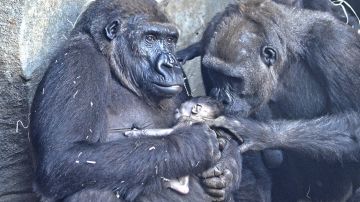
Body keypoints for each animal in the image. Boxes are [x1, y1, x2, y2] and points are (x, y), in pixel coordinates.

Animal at [28, 0, 242, 201]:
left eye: (170, 40)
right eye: (150, 38)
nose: (170, 64)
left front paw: (228, 171)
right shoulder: (77, 61)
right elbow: (65, 157)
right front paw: (193, 145)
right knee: (91, 190)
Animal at [179, 0, 360, 202]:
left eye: (233, 79)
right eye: (216, 74)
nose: (221, 98)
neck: (286, 56)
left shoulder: (337, 45)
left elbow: (355, 124)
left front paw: (258, 133)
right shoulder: (209, 35)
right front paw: (230, 167)